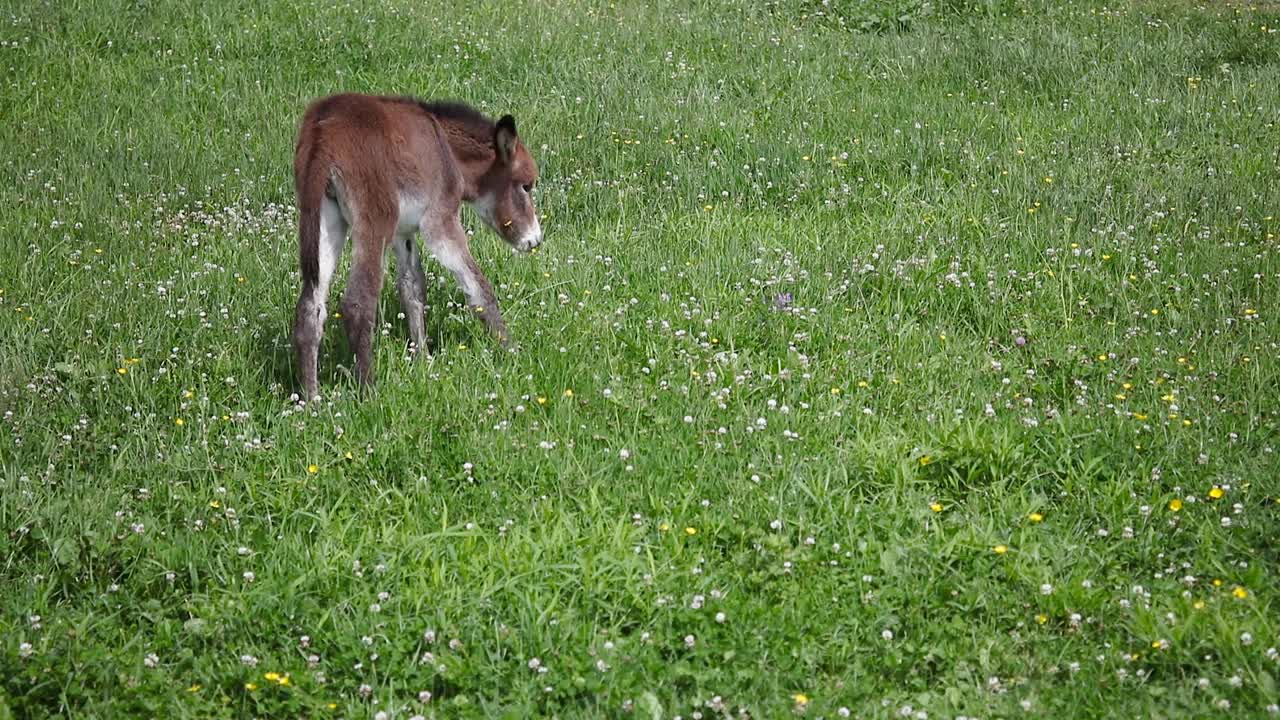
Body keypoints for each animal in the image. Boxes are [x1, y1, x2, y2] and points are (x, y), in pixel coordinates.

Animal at [293, 92, 542, 397]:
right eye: (526, 186)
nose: (535, 240)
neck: (446, 151)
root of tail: (323, 128)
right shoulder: (440, 222)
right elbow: (479, 288)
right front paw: (513, 352)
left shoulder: (404, 233)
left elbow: (413, 289)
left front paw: (423, 361)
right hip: (374, 220)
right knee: (358, 303)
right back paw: (369, 392)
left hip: (325, 220)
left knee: (310, 308)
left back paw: (311, 398)